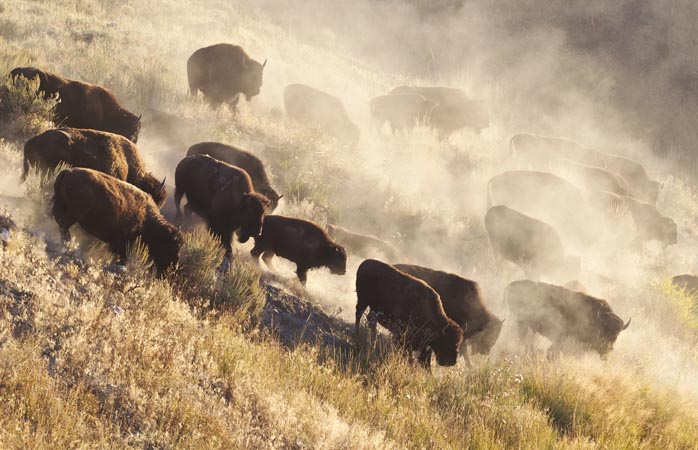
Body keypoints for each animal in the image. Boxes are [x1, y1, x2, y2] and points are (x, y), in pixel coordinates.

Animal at [52, 168, 182, 276]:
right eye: (173, 246)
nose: (174, 267)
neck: (147, 218)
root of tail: (68, 172)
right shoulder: (123, 243)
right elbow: (122, 257)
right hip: (74, 214)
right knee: (63, 225)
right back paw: (69, 247)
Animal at [500, 280, 632, 356]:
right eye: (605, 330)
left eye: (617, 335)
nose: (608, 349)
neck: (596, 318)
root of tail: (509, 286)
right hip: (520, 321)